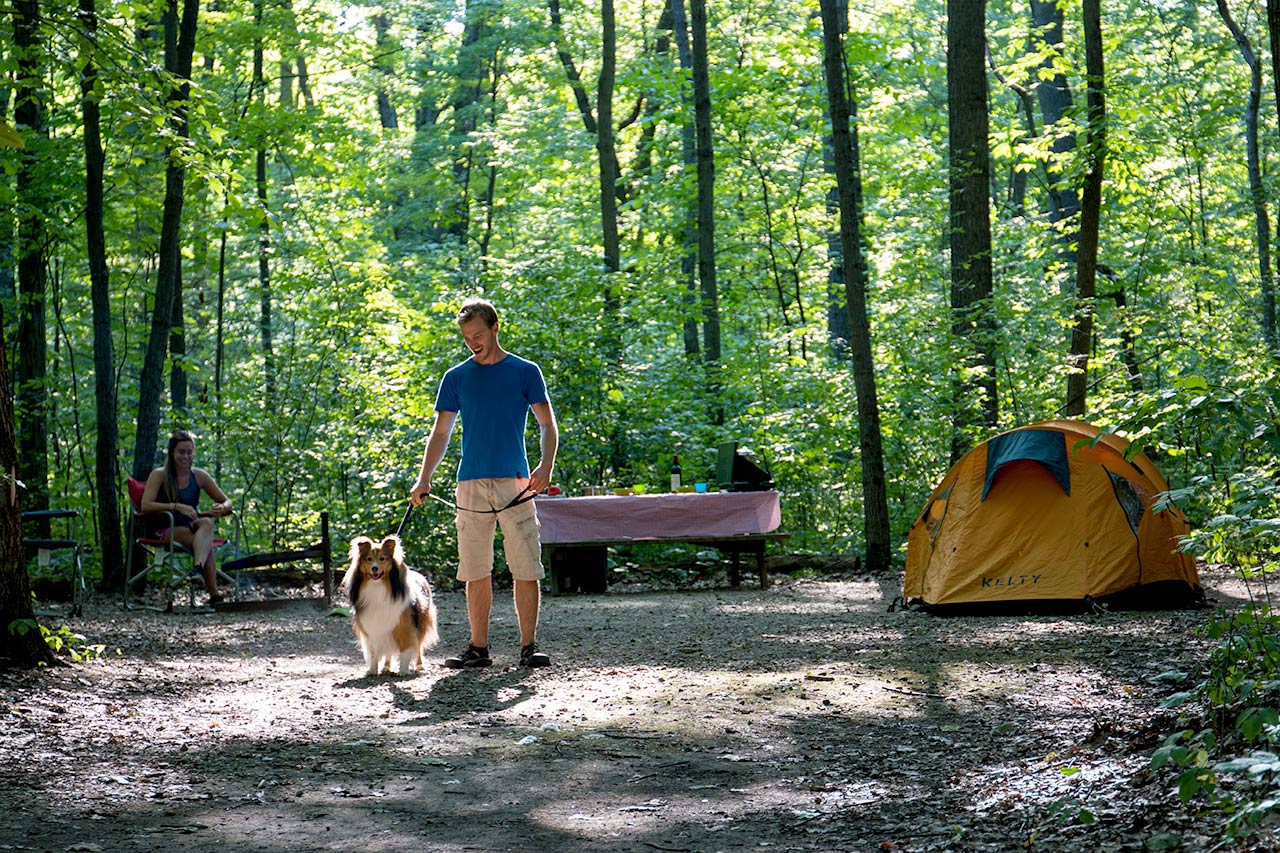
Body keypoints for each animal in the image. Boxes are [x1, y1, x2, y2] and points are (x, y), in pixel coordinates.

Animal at [343, 532, 437, 671]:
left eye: (382, 558)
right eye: (369, 559)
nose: (375, 569)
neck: (379, 586)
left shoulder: (405, 626)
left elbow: (406, 649)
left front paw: (403, 670)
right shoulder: (373, 629)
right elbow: (374, 653)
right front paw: (372, 670)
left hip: (421, 622)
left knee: (419, 645)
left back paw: (419, 665)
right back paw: (386, 667)